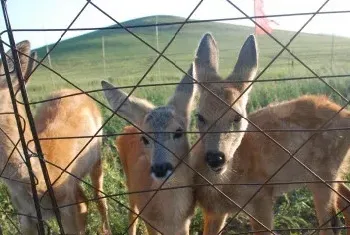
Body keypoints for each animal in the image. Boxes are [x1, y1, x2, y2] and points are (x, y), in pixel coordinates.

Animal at [102, 66, 197, 235]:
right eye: (145, 138)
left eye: (178, 131)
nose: (160, 168)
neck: (170, 218)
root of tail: (130, 126)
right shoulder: (150, 221)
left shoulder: (186, 223)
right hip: (129, 183)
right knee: (132, 213)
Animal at [191, 33, 350, 235]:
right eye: (199, 116)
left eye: (237, 117)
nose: (215, 157)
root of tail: (346, 114)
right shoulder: (214, 211)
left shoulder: (261, 196)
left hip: (324, 172)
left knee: (330, 224)